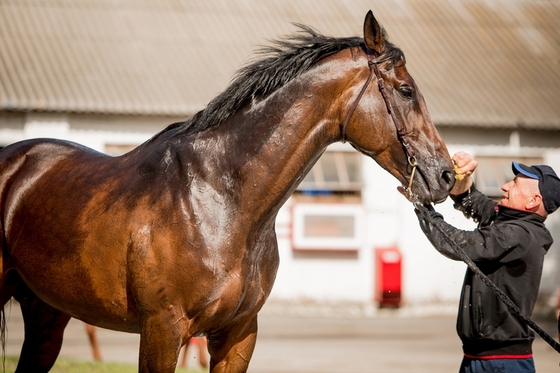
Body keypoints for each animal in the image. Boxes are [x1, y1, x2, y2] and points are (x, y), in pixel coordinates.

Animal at [0, 11, 456, 372]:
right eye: (406, 91)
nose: (446, 176)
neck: (220, 201)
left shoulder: (238, 334)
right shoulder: (162, 330)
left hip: (46, 316)